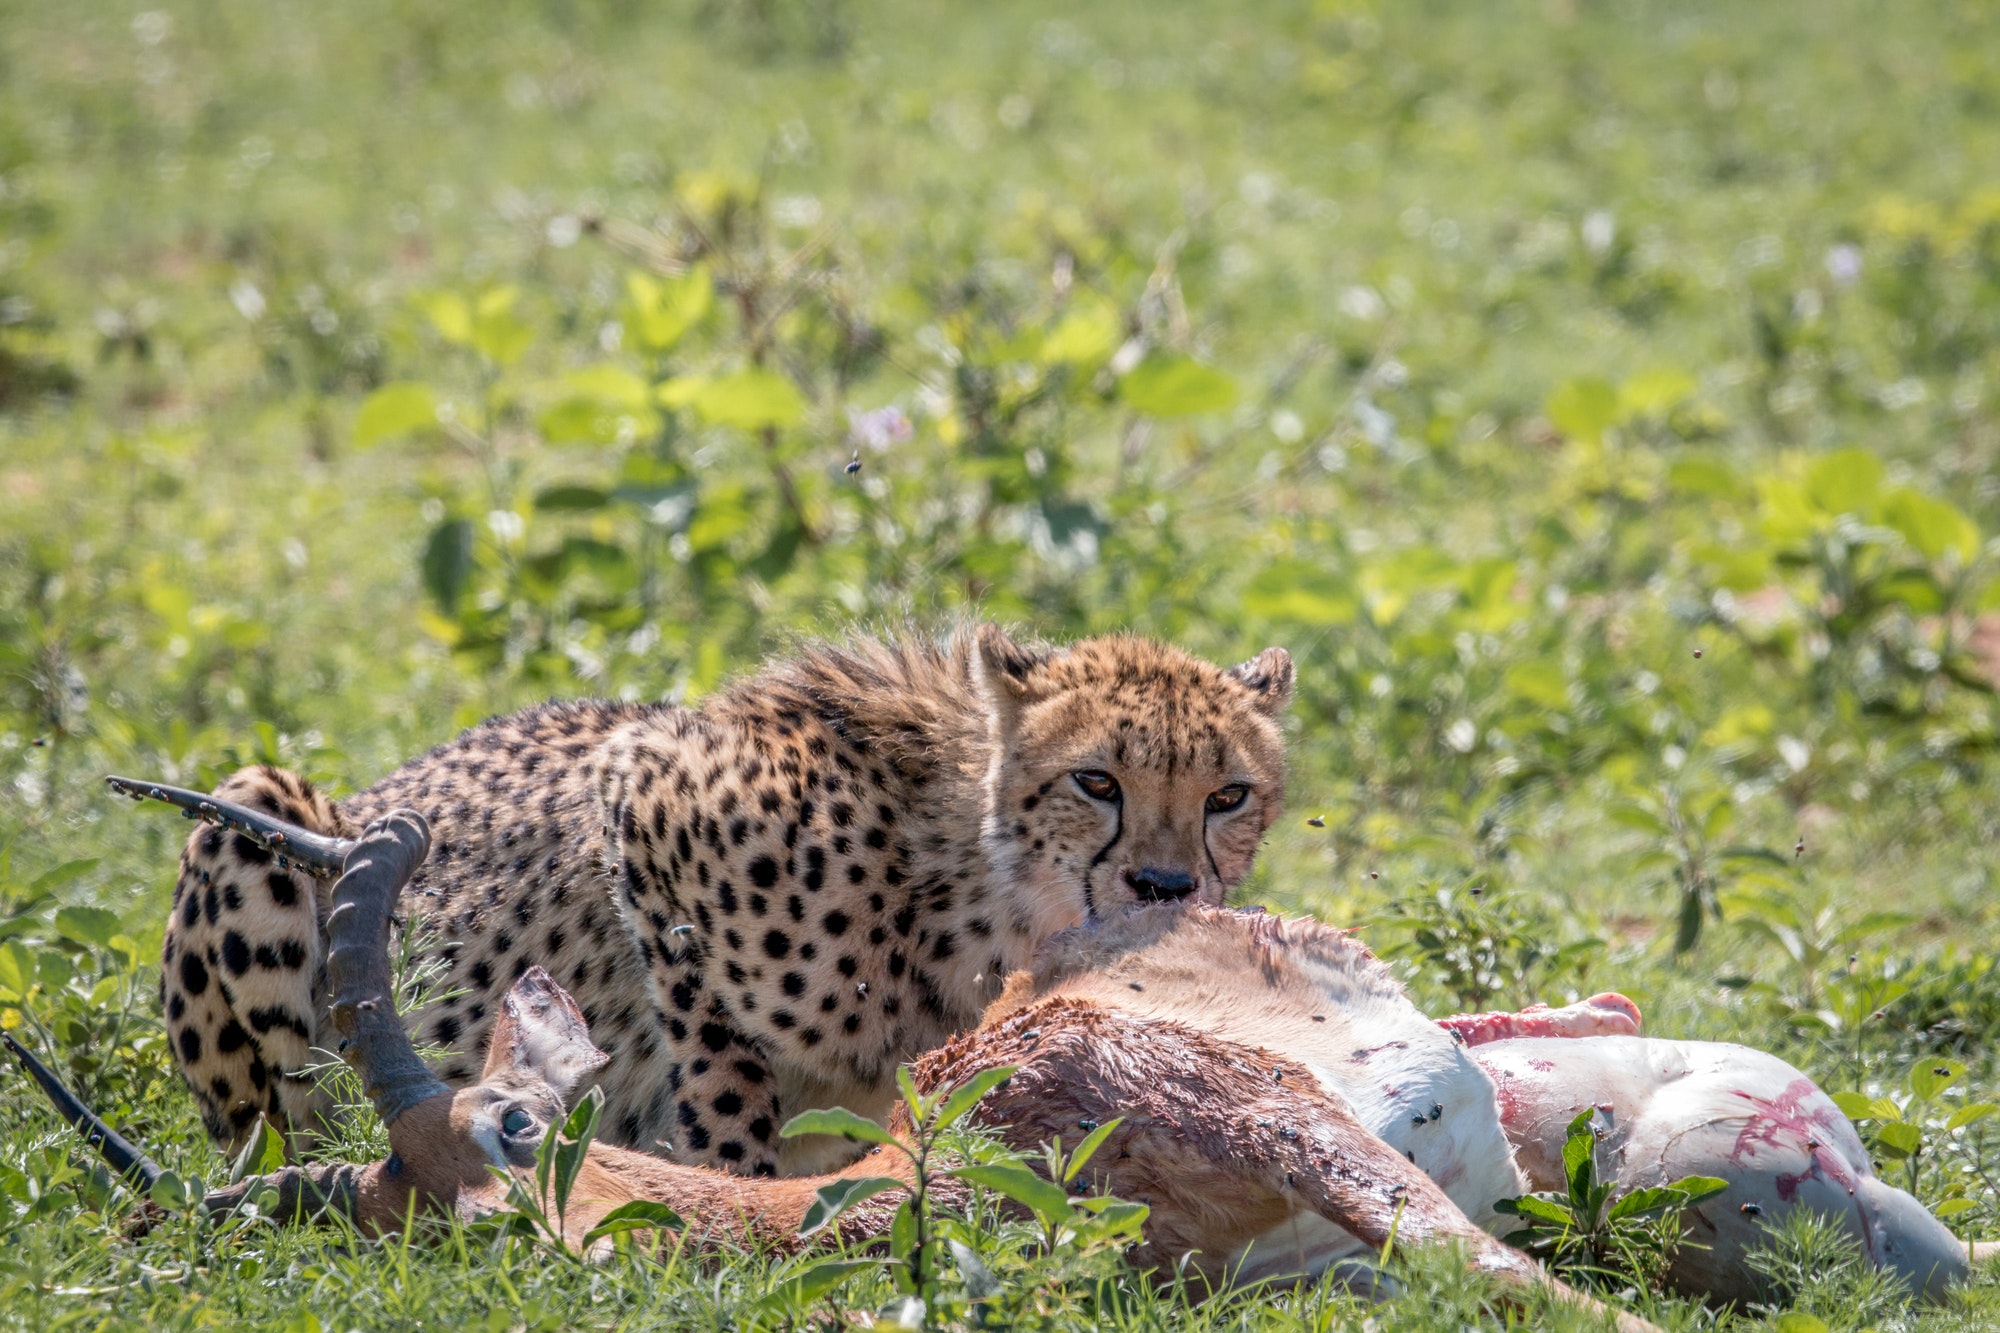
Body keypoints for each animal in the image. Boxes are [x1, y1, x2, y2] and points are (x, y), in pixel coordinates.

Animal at [9, 797, 1979, 1318]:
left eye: (501, 1123)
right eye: (393, 1218)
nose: (522, 1245)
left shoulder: (1303, 1125)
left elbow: (1518, 1283)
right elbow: (1484, 1279)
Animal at [157, 623, 1293, 1176]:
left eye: (1226, 795)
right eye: (1096, 781)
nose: (1166, 885)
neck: (973, 885)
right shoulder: (645, 801)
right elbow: (720, 1070)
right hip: (250, 813)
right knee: (280, 1125)